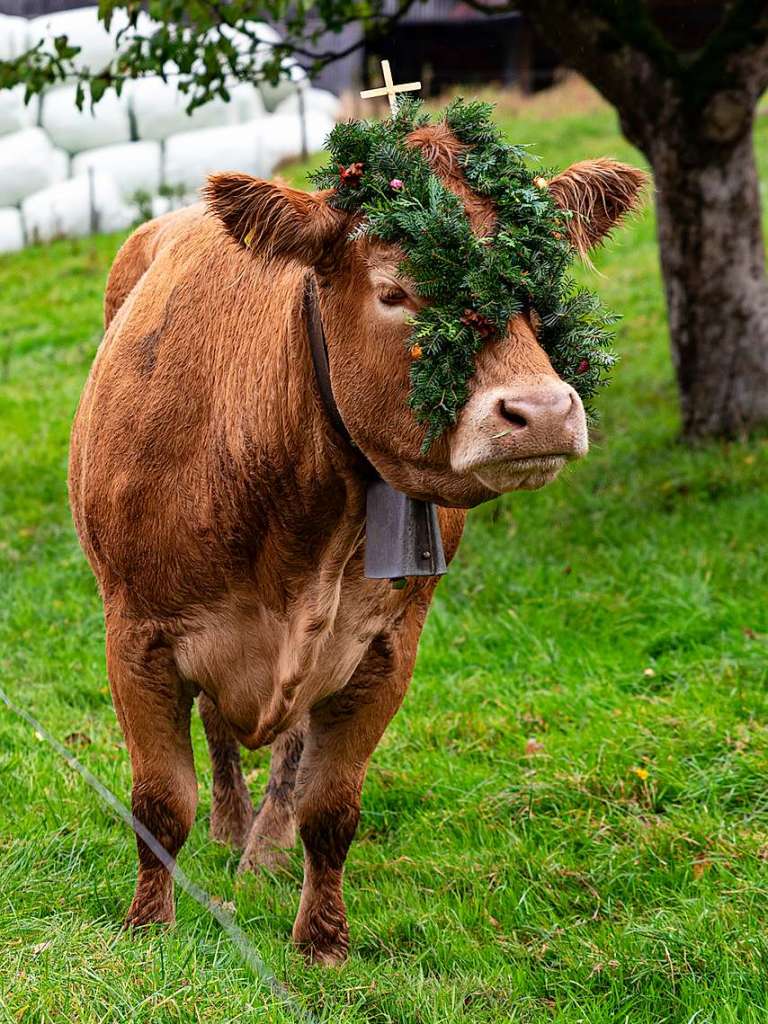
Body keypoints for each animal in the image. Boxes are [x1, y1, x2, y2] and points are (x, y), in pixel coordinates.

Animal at [67, 123, 643, 962]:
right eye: (395, 292)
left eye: (534, 283)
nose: (541, 412)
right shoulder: (135, 632)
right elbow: (160, 802)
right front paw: (149, 930)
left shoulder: (385, 649)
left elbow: (331, 808)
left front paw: (322, 943)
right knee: (219, 728)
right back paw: (231, 828)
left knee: (286, 752)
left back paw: (264, 851)